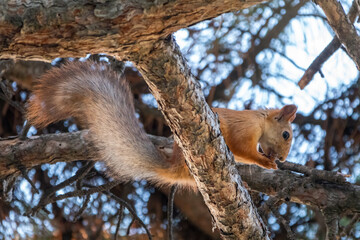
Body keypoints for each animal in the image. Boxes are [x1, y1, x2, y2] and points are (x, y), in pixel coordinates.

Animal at [26, 61, 296, 188]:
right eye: (286, 134)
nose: (283, 159)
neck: (260, 121)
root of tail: (175, 166)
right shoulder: (244, 129)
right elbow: (242, 149)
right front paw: (266, 162)